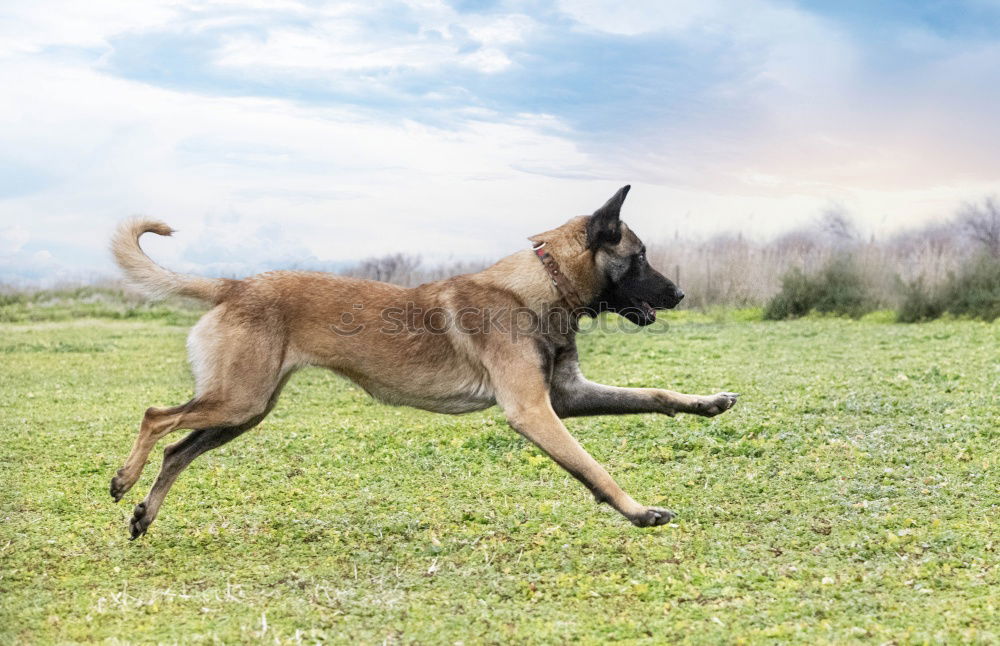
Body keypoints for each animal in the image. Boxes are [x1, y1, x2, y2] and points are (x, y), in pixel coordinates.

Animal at [109, 187, 740, 540]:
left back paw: (143, 515)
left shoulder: (565, 397)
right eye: (641, 257)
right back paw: (123, 479)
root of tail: (235, 285)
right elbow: (595, 469)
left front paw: (706, 402)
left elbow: (655, 395)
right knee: (155, 417)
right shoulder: (534, 412)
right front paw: (638, 512)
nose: (680, 293)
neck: (543, 285)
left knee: (177, 449)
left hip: (246, 410)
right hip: (238, 399)